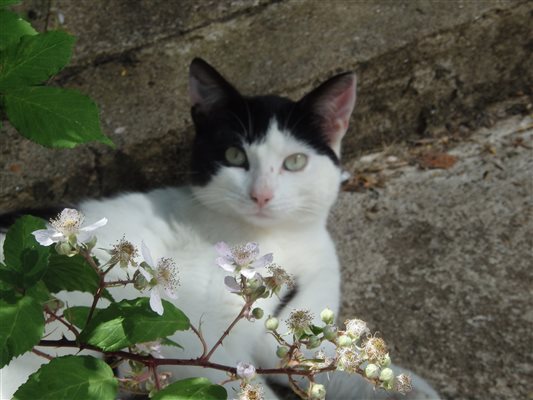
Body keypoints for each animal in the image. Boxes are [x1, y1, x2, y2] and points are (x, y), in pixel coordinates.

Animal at [0, 57, 436, 398]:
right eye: (234, 155)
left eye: (294, 162)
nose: (261, 196)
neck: (276, 238)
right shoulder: (190, 341)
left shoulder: (283, 331)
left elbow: (334, 362)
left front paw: (407, 386)